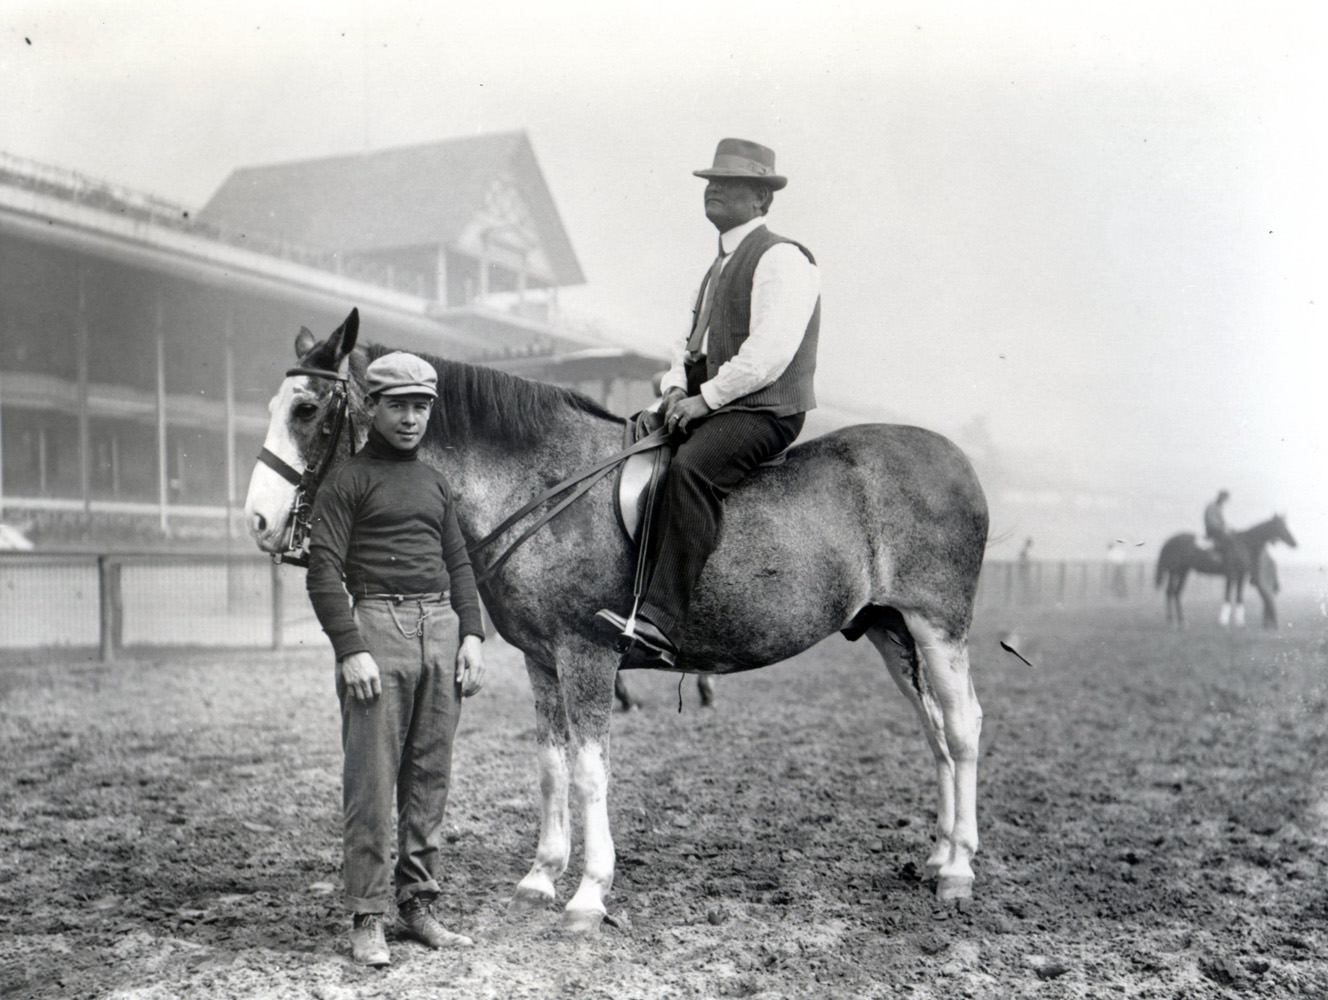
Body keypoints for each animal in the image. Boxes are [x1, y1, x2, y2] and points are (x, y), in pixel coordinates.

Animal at [244, 310, 993, 929]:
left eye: (307, 408)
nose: (258, 521)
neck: (545, 484)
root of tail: (957, 462)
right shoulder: (542, 660)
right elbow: (551, 766)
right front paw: (541, 877)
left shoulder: (588, 655)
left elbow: (588, 771)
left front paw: (588, 893)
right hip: (890, 631)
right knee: (934, 730)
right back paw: (938, 854)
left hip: (937, 626)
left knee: (961, 728)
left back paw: (958, 870)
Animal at [1152, 509, 1296, 626]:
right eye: (1281, 526)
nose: (1294, 543)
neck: (1243, 543)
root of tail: (1170, 541)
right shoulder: (1231, 574)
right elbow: (1227, 596)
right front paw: (1223, 621)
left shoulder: (1241, 576)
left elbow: (1239, 597)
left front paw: (1239, 621)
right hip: (1176, 572)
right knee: (1171, 592)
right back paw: (1174, 621)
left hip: (1182, 572)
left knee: (1174, 593)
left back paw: (1179, 621)